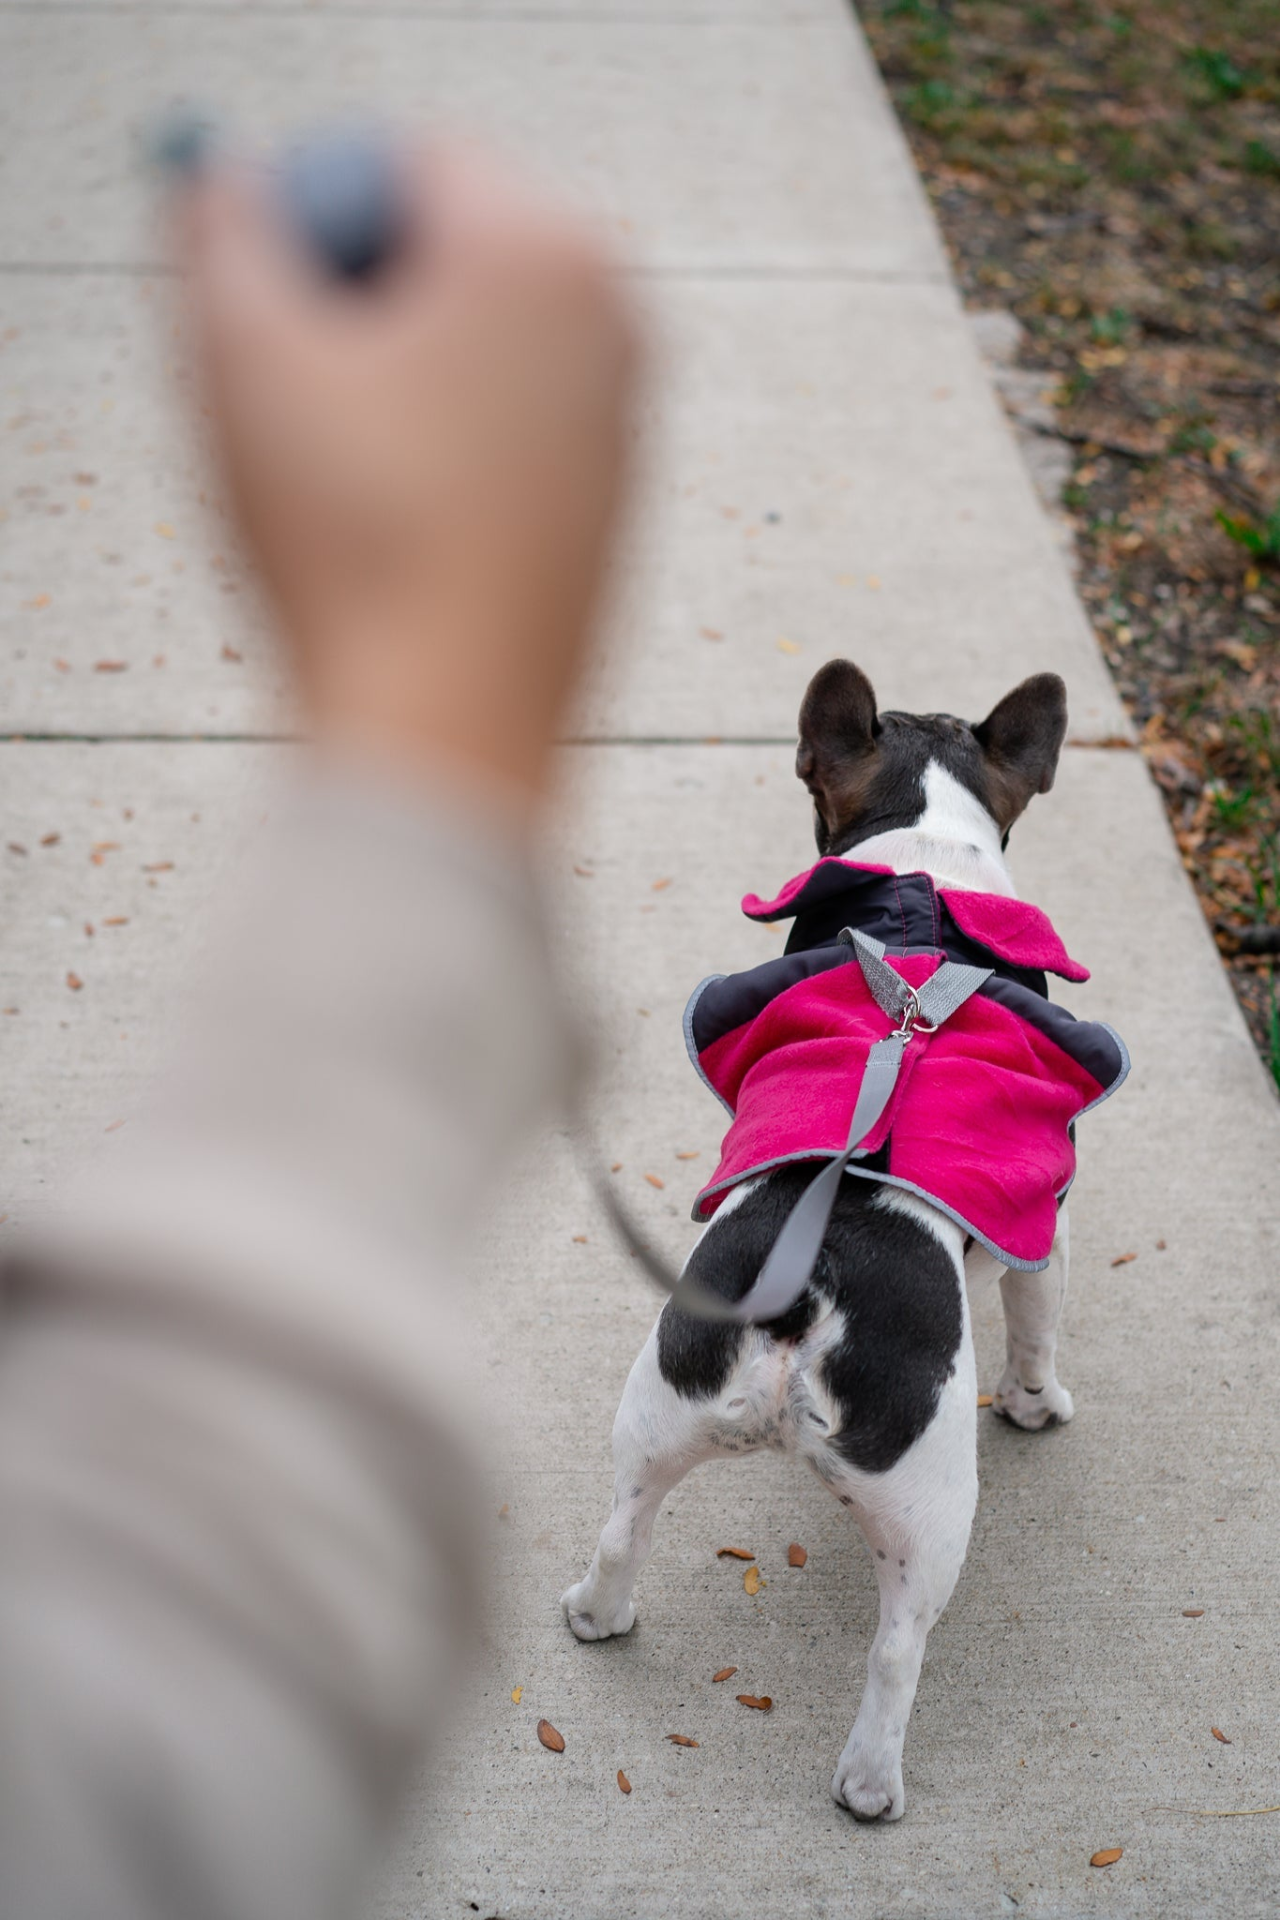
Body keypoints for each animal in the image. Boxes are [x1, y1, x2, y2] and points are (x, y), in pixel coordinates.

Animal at [564, 668, 1097, 1820]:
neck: (922, 869)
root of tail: (811, 1287)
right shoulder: (1048, 1220)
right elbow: (1037, 1327)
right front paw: (1038, 1405)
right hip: (931, 1502)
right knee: (897, 1650)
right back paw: (869, 1783)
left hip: (657, 1407)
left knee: (623, 1524)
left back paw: (596, 1613)